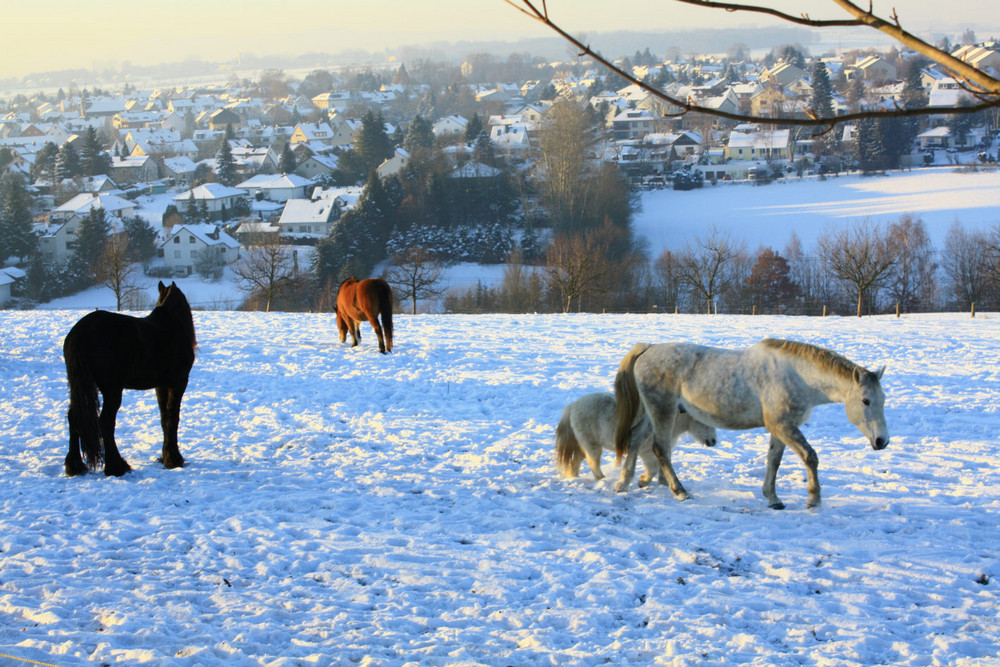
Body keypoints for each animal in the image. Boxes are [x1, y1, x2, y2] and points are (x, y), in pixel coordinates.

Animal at [62, 280, 197, 478]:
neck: (171, 325)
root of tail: (80, 331)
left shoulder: (161, 385)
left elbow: (164, 418)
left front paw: (165, 457)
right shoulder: (178, 382)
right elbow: (173, 418)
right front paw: (174, 458)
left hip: (81, 386)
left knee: (74, 417)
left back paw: (75, 466)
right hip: (112, 389)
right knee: (105, 422)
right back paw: (116, 466)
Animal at [556, 394, 720, 488]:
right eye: (705, 422)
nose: (713, 441)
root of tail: (573, 405)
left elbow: (659, 467)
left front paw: (661, 483)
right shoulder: (645, 450)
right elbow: (652, 468)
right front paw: (641, 482)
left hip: (585, 443)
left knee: (577, 460)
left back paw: (574, 477)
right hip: (592, 445)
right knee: (592, 462)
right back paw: (603, 480)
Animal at [612, 342, 888, 508]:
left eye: (883, 399)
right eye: (865, 400)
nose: (882, 441)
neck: (797, 375)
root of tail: (648, 349)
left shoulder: (781, 428)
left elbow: (774, 461)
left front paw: (773, 498)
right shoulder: (784, 426)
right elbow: (810, 457)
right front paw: (813, 498)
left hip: (653, 413)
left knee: (635, 440)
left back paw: (625, 483)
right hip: (663, 412)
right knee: (661, 449)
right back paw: (679, 491)